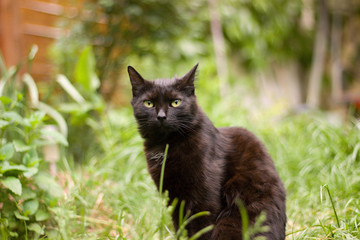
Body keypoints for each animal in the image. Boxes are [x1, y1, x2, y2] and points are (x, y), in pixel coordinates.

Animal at [128, 63, 286, 240]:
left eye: (175, 102)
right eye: (148, 103)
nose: (161, 116)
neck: (166, 145)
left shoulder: (204, 197)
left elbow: (201, 228)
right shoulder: (174, 198)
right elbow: (180, 227)